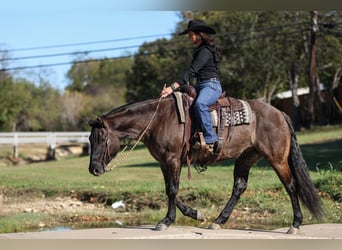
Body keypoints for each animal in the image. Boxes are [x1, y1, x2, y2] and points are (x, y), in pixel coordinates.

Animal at [87, 92, 324, 234]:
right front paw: (195, 214)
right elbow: (170, 190)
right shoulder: (165, 162)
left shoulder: (172, 159)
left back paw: (295, 224)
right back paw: (218, 221)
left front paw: (166, 221)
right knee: (239, 187)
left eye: (101, 138)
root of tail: (280, 113)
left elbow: (172, 190)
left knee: (291, 185)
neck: (158, 120)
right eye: (89, 139)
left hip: (277, 158)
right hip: (246, 157)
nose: (94, 169)